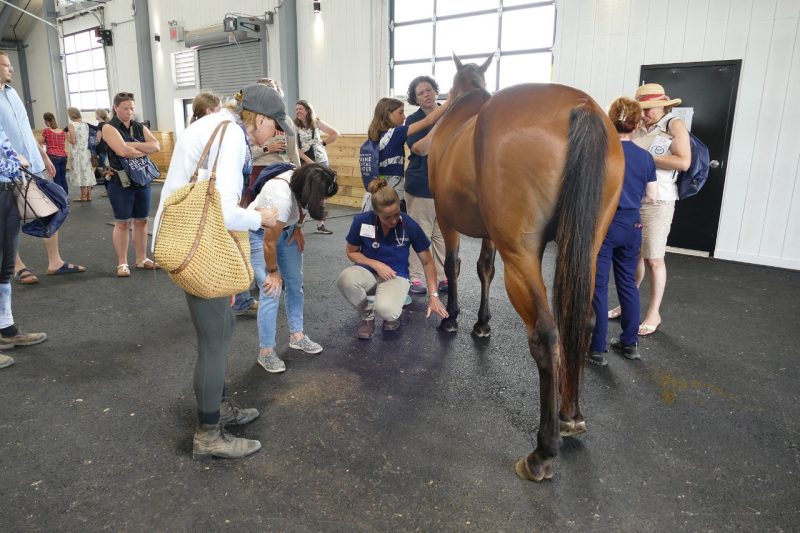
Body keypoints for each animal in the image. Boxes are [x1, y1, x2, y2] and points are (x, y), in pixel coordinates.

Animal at [432, 56, 624, 480]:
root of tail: (583, 107)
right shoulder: (488, 232)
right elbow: (483, 269)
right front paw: (482, 324)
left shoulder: (446, 218)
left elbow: (454, 266)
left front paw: (452, 317)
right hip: (587, 245)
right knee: (582, 320)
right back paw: (571, 416)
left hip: (521, 255)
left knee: (546, 334)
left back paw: (543, 450)